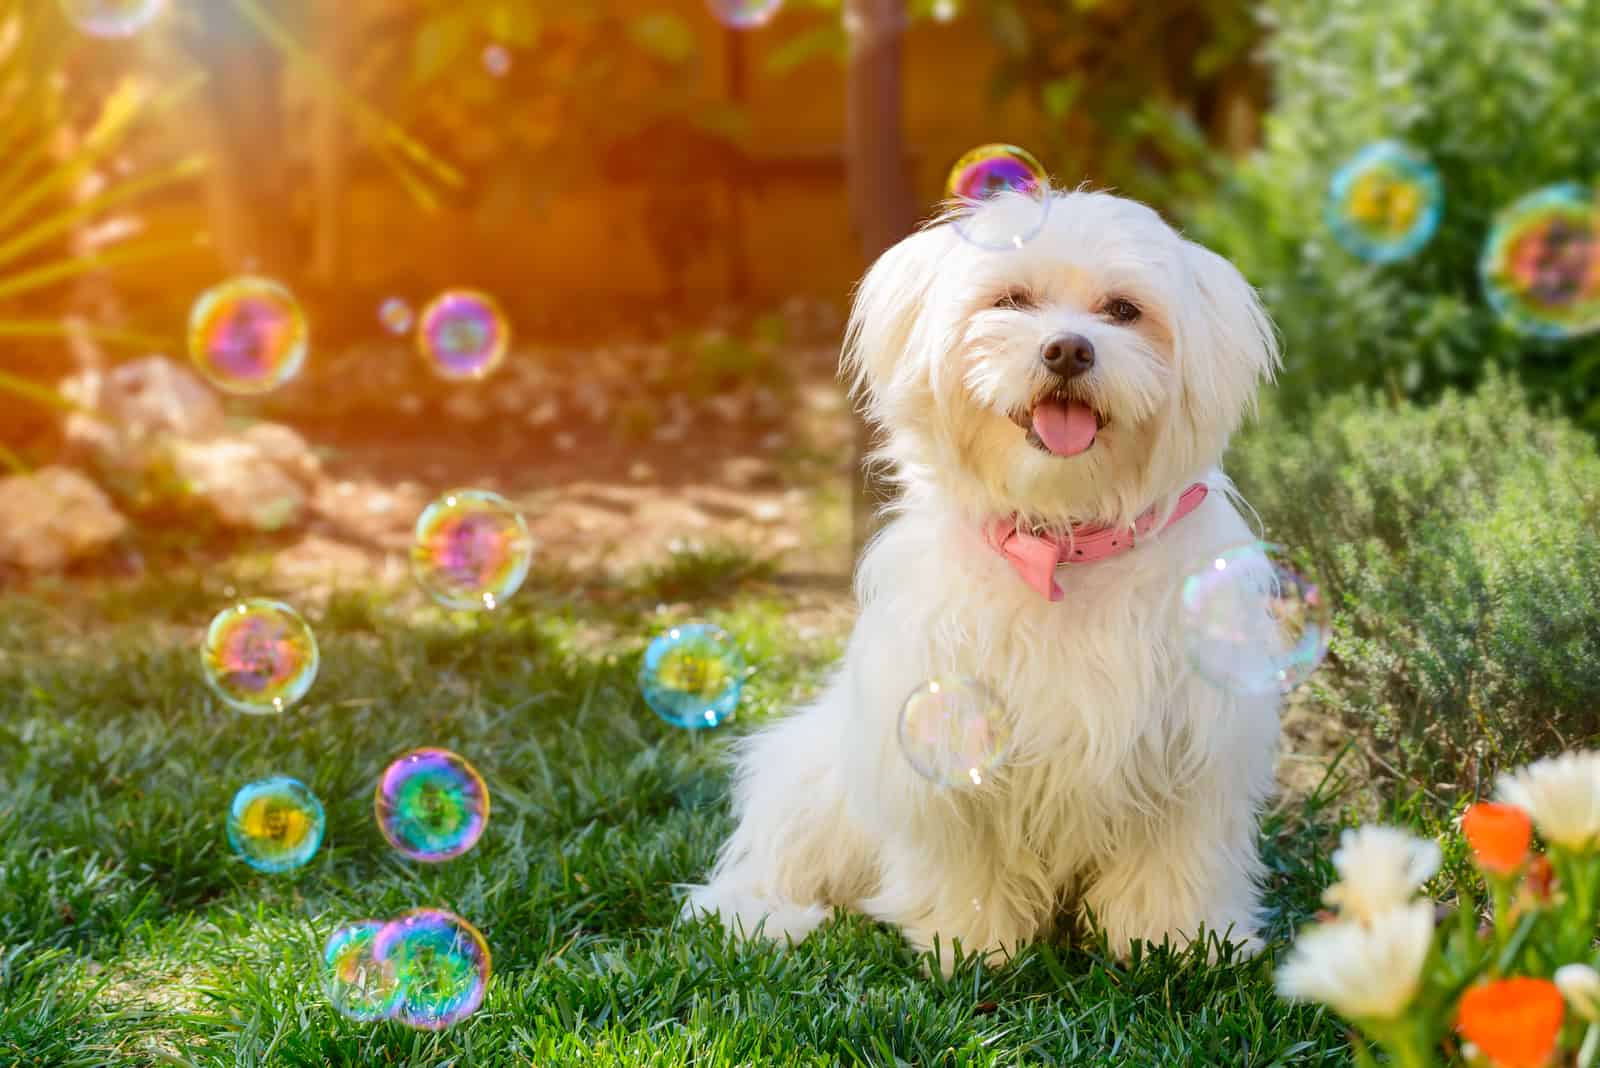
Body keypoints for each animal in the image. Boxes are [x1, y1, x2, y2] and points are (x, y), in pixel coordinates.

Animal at [681, 187, 1280, 972]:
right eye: (1011, 300)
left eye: (1124, 310)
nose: (1068, 349)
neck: (1062, 540)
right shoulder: (943, 734)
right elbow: (967, 859)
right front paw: (971, 945)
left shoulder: (1192, 748)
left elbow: (1173, 862)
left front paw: (1177, 943)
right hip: (807, 777)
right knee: (767, 861)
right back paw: (766, 913)